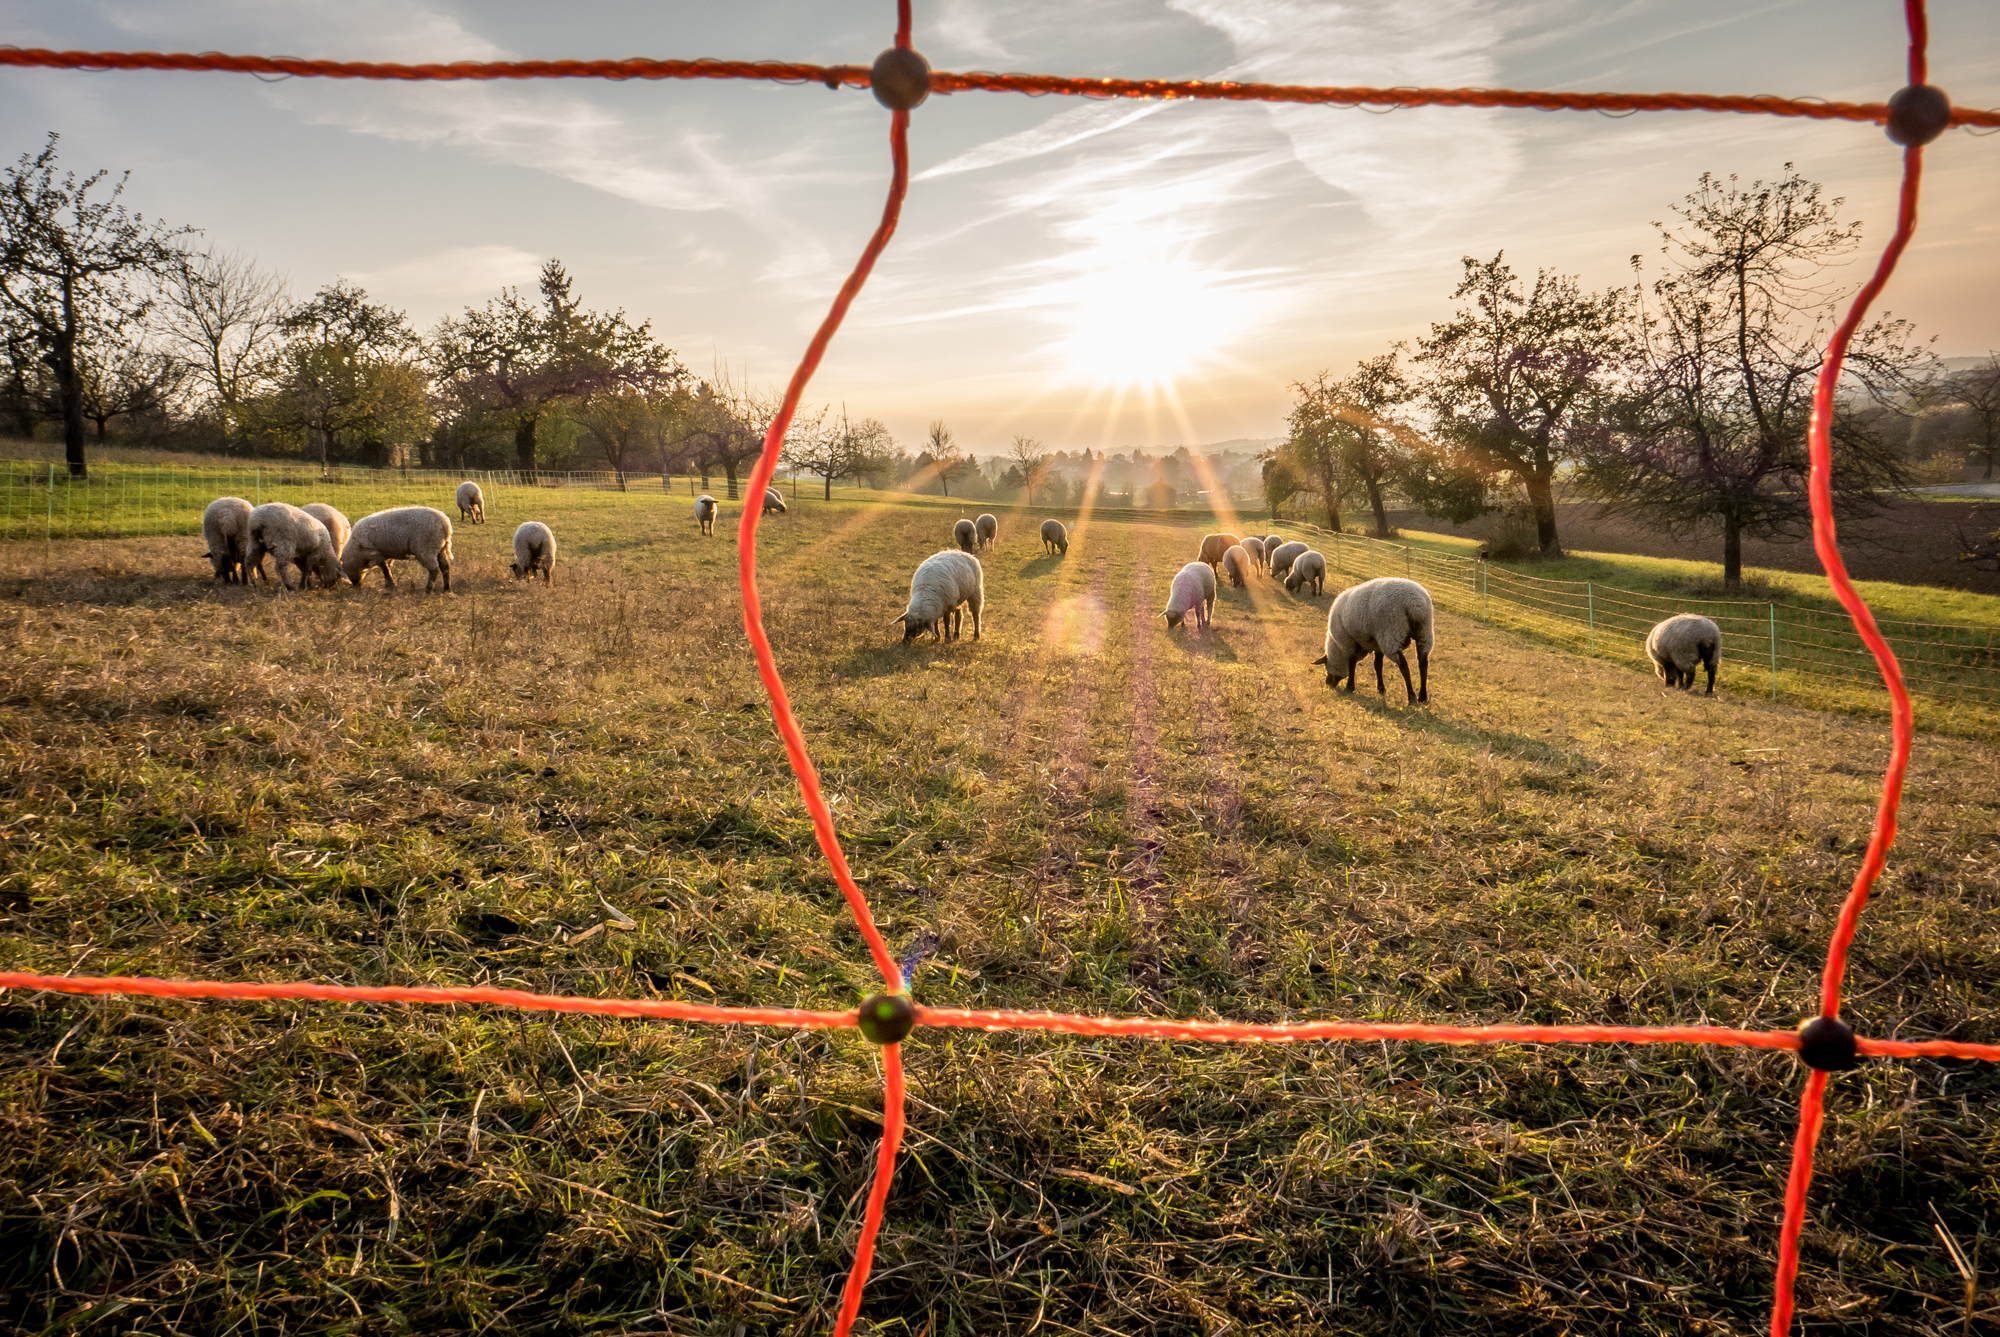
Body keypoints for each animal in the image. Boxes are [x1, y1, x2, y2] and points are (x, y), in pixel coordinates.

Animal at [1312, 576, 1440, 704]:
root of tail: (1415, 604)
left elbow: (1352, 663)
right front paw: (1381, 689)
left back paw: (1411, 696)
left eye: (1326, 666)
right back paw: (1422, 696)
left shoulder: (1349, 641)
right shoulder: (1377, 645)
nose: (1328, 684)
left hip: (1391, 634)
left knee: (1404, 665)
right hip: (1424, 633)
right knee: (1423, 663)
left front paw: (1349, 687)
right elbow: (1377, 665)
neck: (1337, 647)